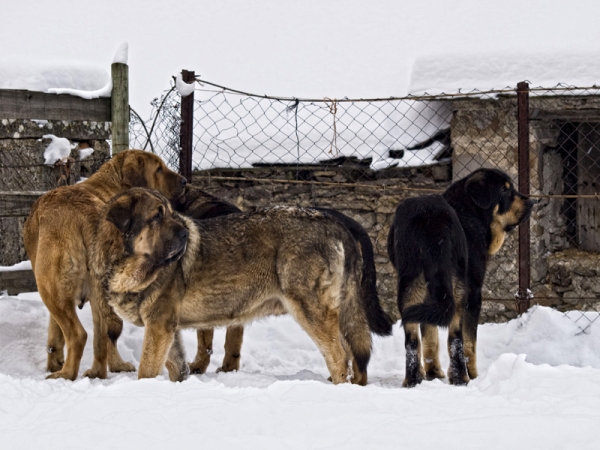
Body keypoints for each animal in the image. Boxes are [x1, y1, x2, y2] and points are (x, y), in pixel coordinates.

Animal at [23, 150, 186, 380]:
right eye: (159, 169)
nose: (185, 181)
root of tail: (87, 214)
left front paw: (55, 365)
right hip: (93, 289)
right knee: (103, 334)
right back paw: (97, 372)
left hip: (49, 287)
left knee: (79, 334)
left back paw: (66, 374)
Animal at [93, 188, 390, 384]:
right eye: (156, 216)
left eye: (171, 214)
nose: (186, 234)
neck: (128, 266)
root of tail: (337, 224)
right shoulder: (167, 329)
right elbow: (178, 367)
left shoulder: (158, 324)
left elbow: (146, 371)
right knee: (354, 355)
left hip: (310, 311)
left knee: (339, 357)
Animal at [390, 169, 536, 386]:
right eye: (504, 190)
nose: (533, 202)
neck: (469, 211)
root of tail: (431, 220)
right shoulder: (474, 292)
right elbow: (469, 342)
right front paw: (473, 374)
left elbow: (430, 336)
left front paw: (433, 373)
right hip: (458, 288)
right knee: (455, 337)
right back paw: (461, 377)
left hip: (411, 282)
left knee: (412, 338)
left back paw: (413, 379)